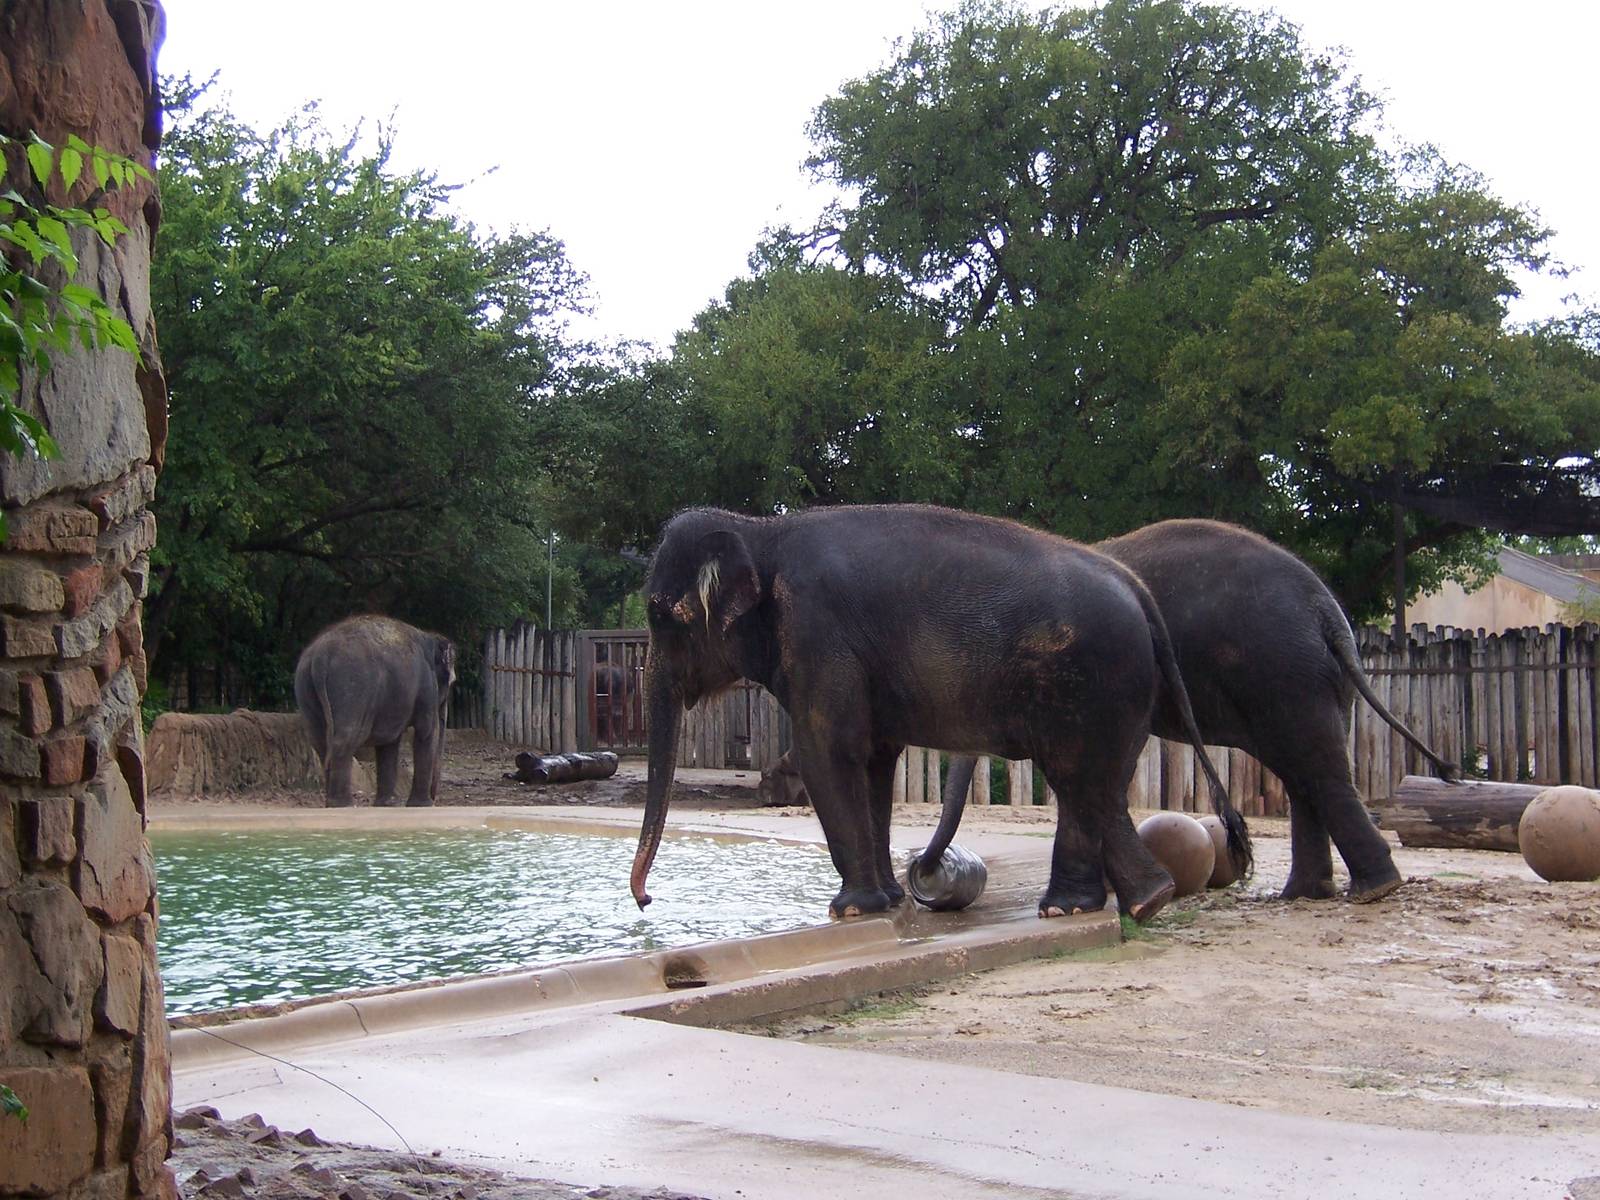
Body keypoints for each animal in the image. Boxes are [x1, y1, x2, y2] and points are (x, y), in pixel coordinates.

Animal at [294, 614, 457, 807]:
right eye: (451, 681)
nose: (434, 797)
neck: (428, 636)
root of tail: (321, 656)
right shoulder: (427, 688)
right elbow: (425, 732)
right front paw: (422, 805)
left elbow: (389, 742)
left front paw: (387, 804)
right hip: (352, 686)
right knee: (345, 738)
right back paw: (344, 804)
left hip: (305, 686)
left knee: (320, 742)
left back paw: (331, 803)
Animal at [630, 504, 1251, 924]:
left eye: (658, 614)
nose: (644, 900)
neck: (761, 531)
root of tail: (1138, 589)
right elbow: (874, 762)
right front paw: (888, 902)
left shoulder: (817, 633)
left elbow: (829, 751)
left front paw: (851, 911)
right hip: (1118, 692)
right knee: (1095, 787)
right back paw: (1135, 902)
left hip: (1094, 681)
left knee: (1078, 779)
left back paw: (1095, 907)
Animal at [929, 519, 1458, 904]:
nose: (928, 873)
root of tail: (1328, 612)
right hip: (1307, 680)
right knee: (1304, 768)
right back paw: (1307, 895)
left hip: (1282, 671)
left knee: (1311, 767)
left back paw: (1370, 890)